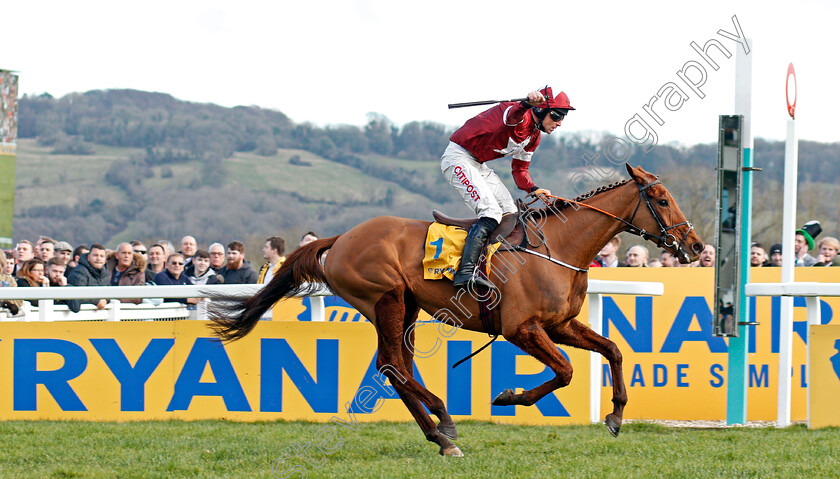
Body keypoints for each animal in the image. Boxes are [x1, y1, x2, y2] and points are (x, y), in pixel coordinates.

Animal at [208, 164, 704, 458]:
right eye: (661, 199)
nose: (697, 247)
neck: (558, 248)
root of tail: (341, 237)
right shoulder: (522, 329)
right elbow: (565, 371)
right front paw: (509, 397)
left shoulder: (560, 324)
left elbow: (613, 350)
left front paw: (616, 415)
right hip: (386, 299)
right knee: (391, 365)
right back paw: (444, 421)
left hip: (405, 308)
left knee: (395, 367)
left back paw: (438, 435)